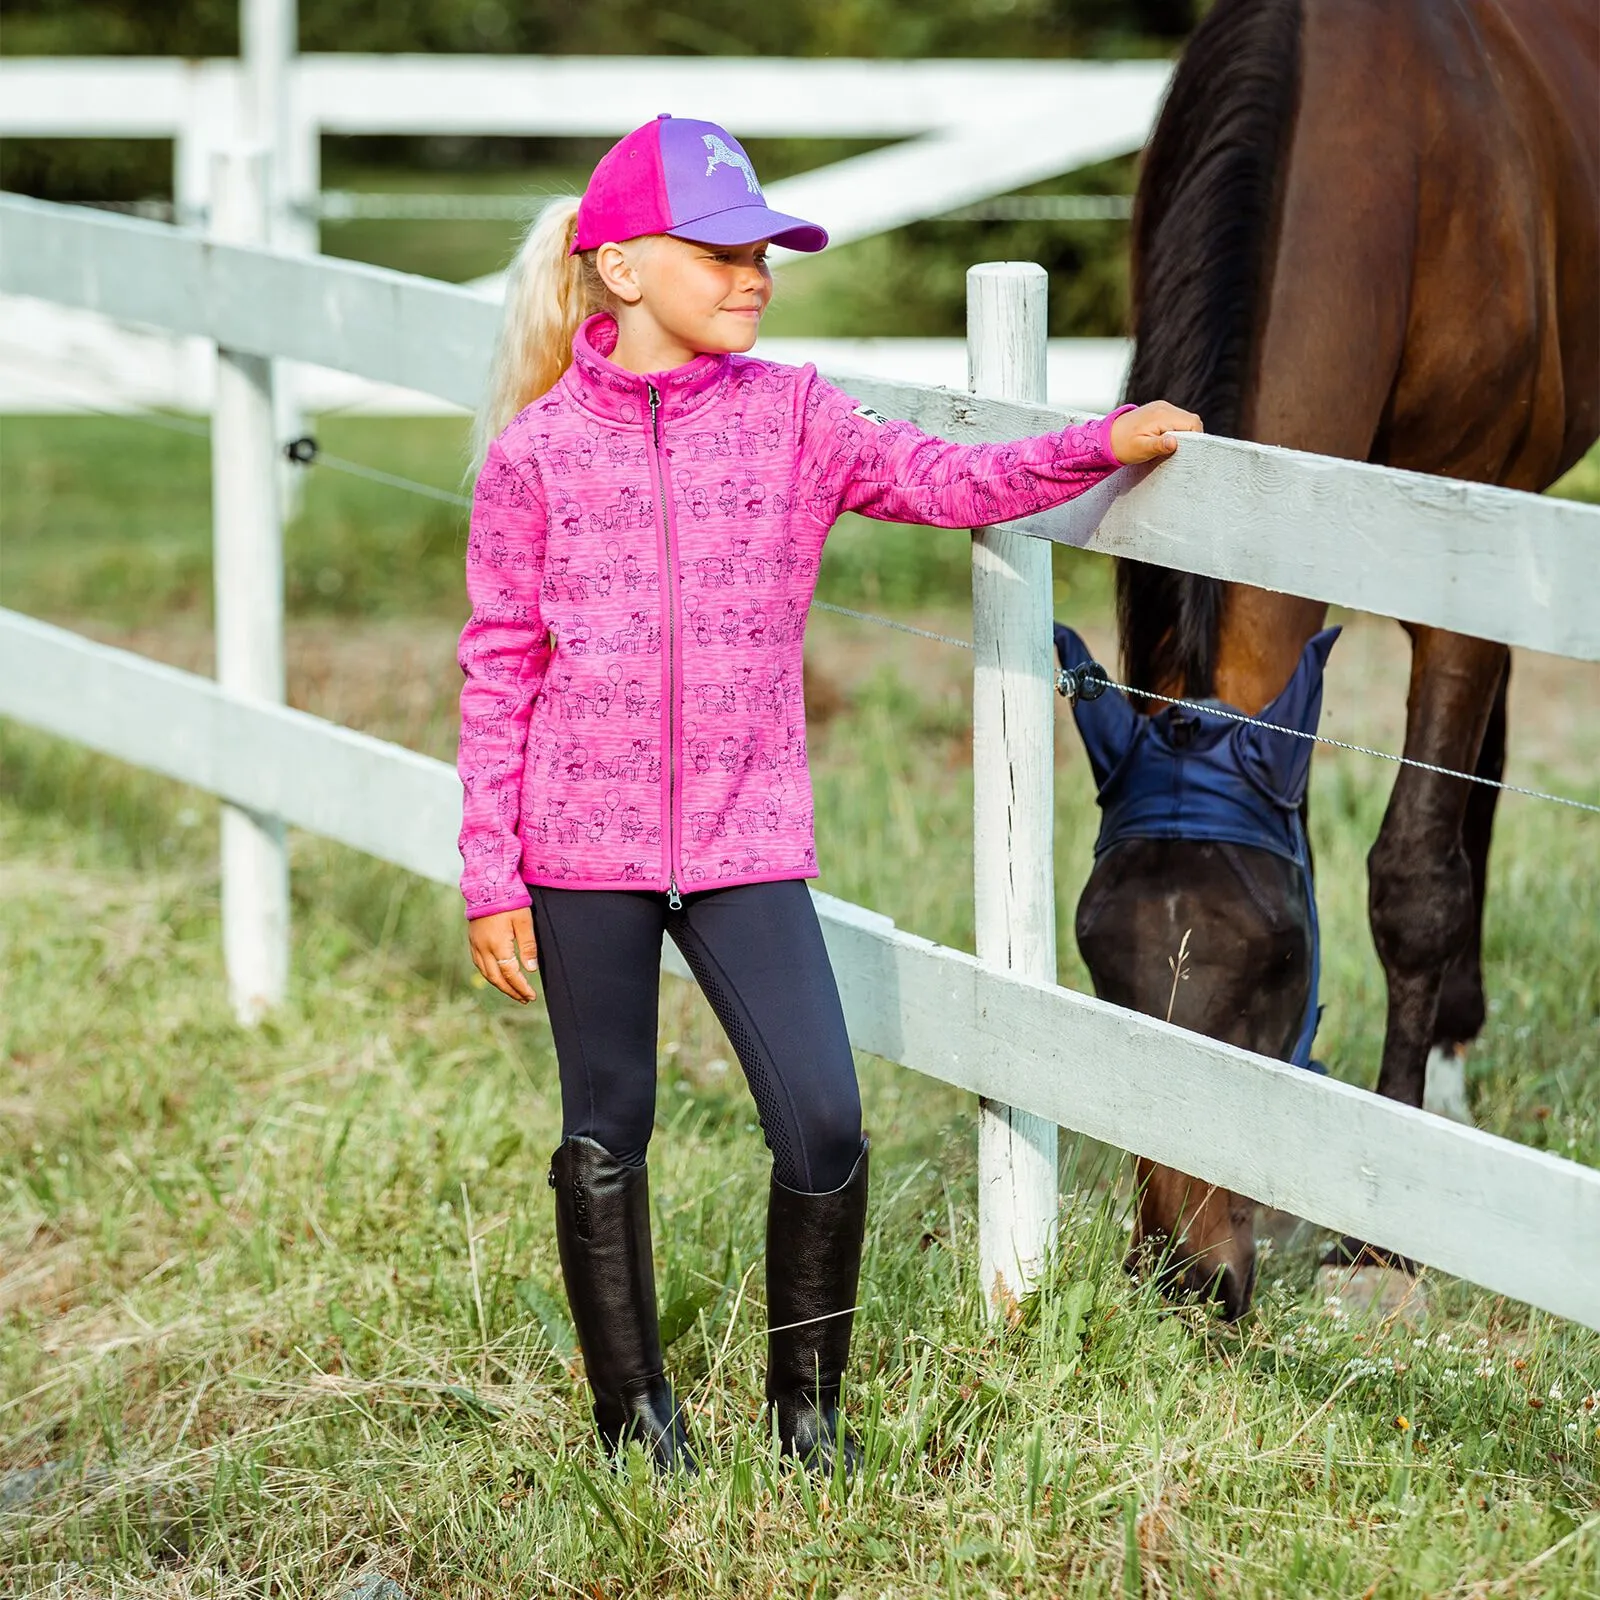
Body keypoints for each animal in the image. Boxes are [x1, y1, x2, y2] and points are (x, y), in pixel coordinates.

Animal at [1088, 0, 1600, 1318]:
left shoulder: (1458, 559)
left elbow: (1410, 880)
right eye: (1097, 958)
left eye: (1271, 966)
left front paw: (1378, 1236)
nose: (1185, 1272)